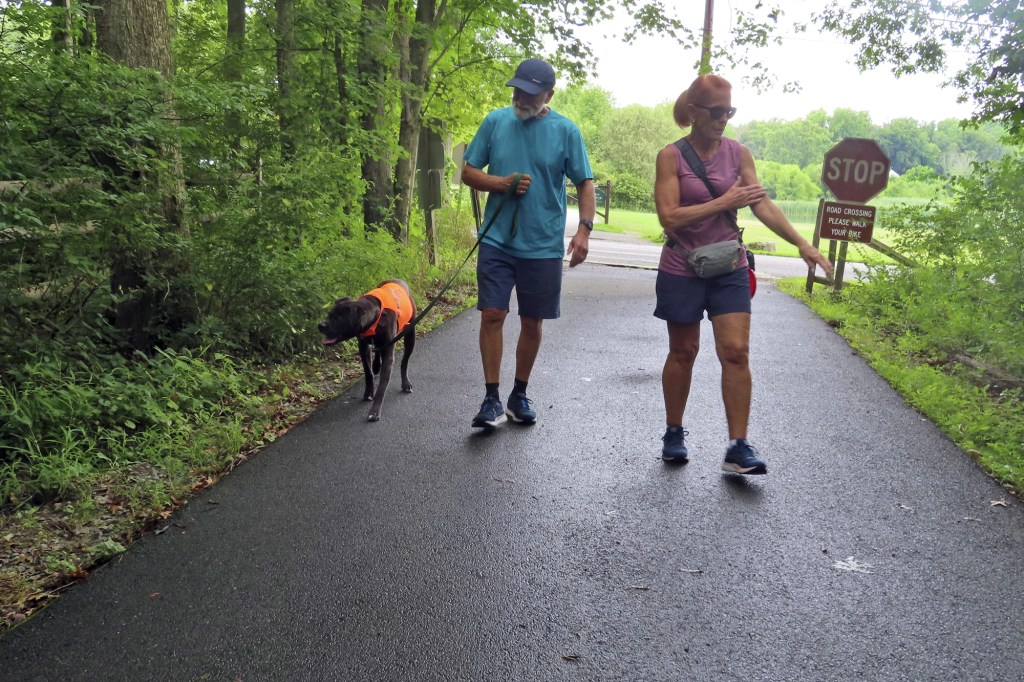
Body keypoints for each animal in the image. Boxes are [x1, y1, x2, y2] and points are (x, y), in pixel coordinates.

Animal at [319, 278, 415, 419]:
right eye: (329, 315)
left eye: (339, 318)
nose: (320, 325)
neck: (376, 318)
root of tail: (398, 280)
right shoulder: (363, 347)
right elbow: (368, 372)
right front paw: (369, 392)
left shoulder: (388, 354)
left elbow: (382, 385)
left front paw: (375, 410)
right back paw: (376, 366)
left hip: (410, 336)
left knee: (404, 362)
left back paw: (406, 383)